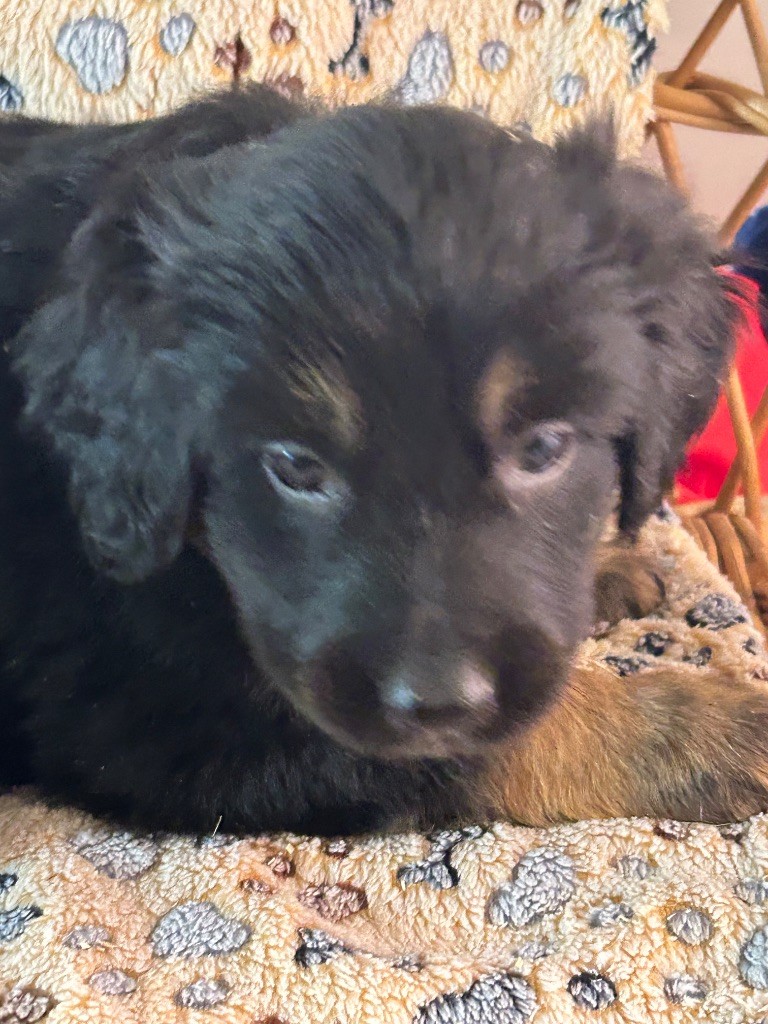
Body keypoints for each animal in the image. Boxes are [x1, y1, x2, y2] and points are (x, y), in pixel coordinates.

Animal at [0, 86, 765, 836]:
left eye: (544, 449)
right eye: (295, 466)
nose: (440, 702)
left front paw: (607, 571)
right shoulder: (158, 722)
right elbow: (503, 741)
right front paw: (711, 730)